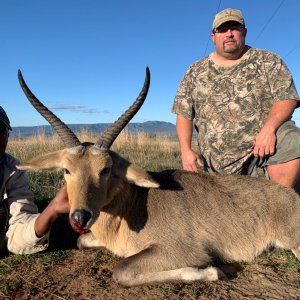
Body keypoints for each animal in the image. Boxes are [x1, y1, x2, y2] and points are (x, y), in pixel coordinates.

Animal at [17, 69, 300, 288]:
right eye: (67, 170)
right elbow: (82, 240)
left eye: (105, 169)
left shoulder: (182, 251)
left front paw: (211, 272)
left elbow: (122, 271)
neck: (133, 206)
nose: (80, 217)